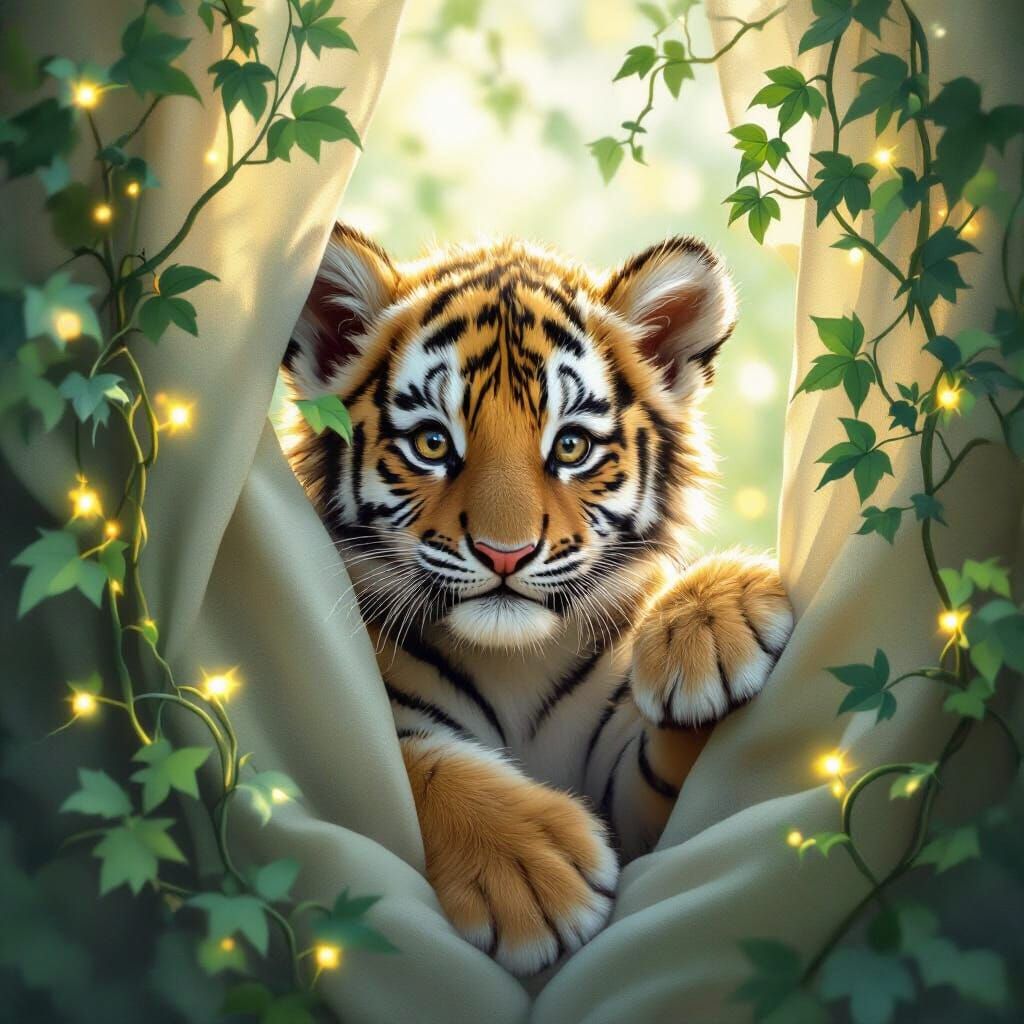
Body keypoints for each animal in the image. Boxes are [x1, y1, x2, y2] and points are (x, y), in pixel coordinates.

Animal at [281, 225, 794, 978]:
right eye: (433, 443)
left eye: (571, 446)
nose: (505, 554)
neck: (513, 662)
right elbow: (412, 762)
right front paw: (531, 878)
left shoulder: (633, 803)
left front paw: (710, 623)